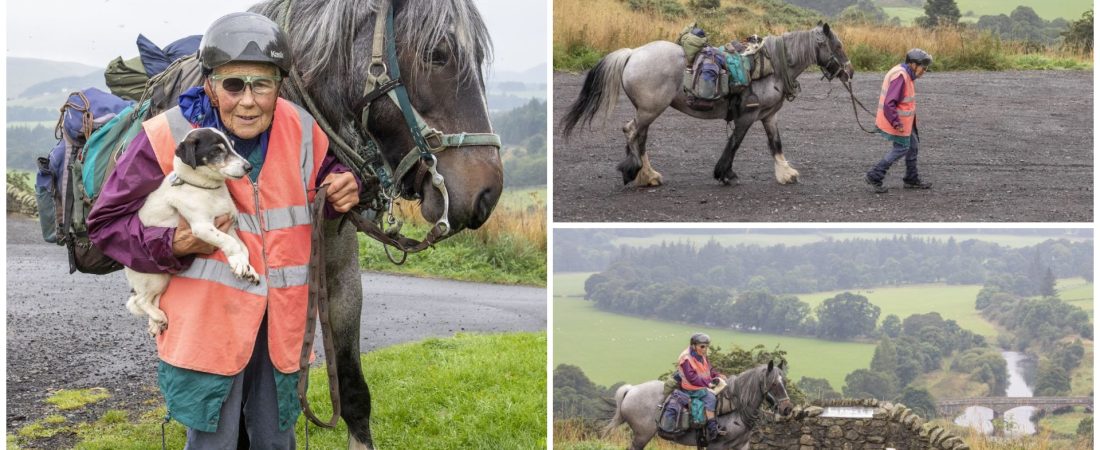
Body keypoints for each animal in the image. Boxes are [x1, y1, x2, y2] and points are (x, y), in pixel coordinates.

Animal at [123, 126, 260, 332]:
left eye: (232, 145)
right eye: (217, 150)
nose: (248, 167)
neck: (207, 189)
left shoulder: (228, 226)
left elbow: (242, 247)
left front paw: (247, 267)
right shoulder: (202, 226)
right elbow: (230, 243)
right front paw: (239, 262)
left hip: (164, 279)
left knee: (152, 299)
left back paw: (156, 321)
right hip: (154, 278)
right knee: (139, 301)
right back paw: (157, 316)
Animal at [563, 22, 853, 188]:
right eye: (838, 46)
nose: (849, 72)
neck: (772, 66)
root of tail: (632, 53)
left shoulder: (769, 115)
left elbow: (775, 144)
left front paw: (786, 173)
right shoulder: (747, 116)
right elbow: (734, 143)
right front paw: (725, 173)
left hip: (647, 110)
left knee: (638, 136)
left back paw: (648, 175)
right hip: (650, 109)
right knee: (632, 132)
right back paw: (634, 171)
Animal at [602, 360, 792, 448]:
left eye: (784, 381)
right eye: (774, 384)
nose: (787, 409)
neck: (736, 408)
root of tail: (631, 390)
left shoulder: (742, 446)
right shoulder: (717, 446)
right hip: (642, 436)